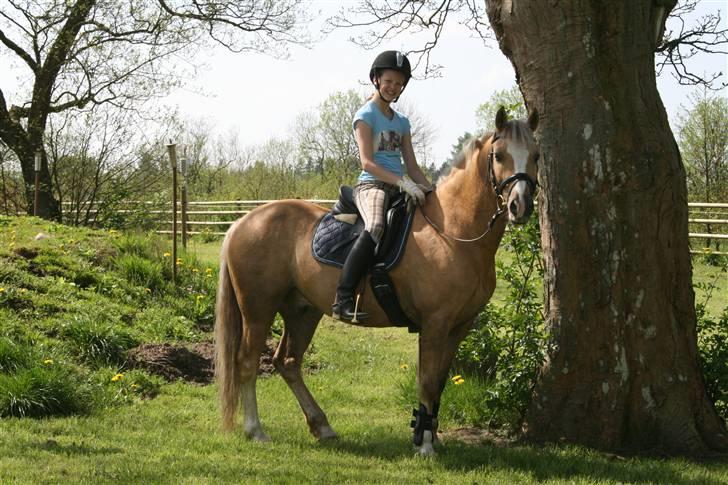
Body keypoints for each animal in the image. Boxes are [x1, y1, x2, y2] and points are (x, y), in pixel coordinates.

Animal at [215, 106, 540, 456]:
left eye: (536, 155)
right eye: (499, 155)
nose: (520, 206)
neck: (452, 231)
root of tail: (244, 222)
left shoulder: (460, 326)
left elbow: (439, 382)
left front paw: (430, 434)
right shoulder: (435, 324)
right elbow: (427, 381)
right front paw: (425, 444)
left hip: (302, 311)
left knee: (288, 362)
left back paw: (322, 426)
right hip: (258, 309)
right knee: (247, 361)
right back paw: (255, 429)